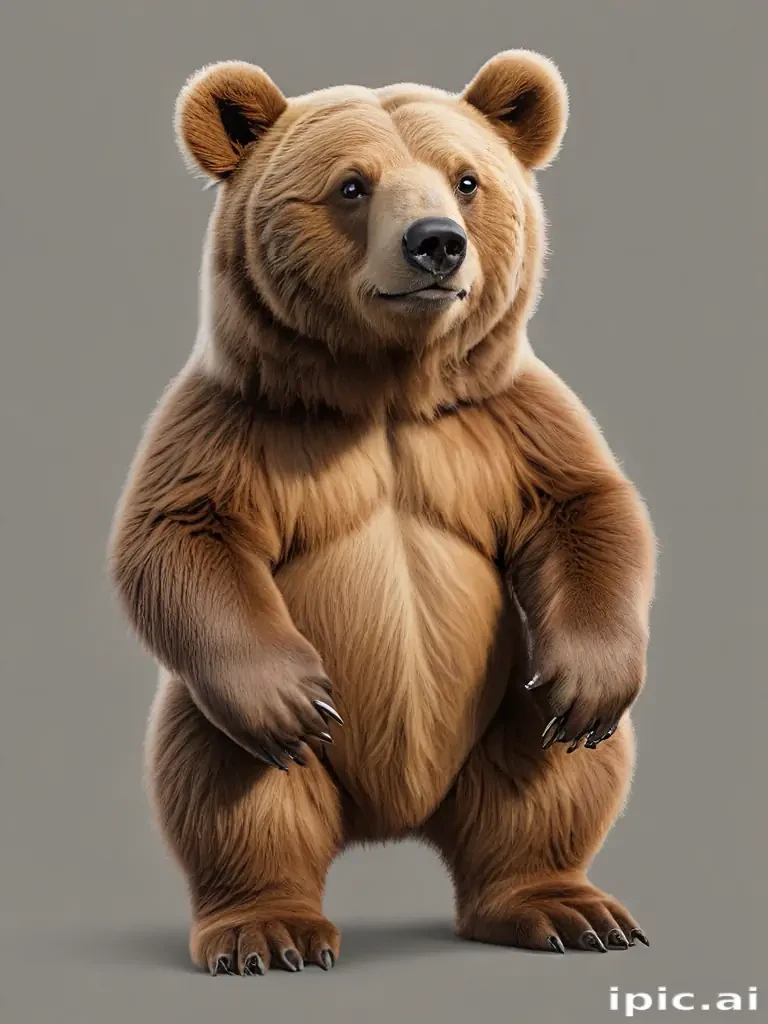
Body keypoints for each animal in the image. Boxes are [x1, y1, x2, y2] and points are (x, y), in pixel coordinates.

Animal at [108, 50, 657, 975]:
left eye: (466, 178)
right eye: (351, 185)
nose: (436, 242)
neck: (388, 391)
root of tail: (397, 818)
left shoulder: (503, 418)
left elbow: (587, 507)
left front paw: (591, 679)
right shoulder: (238, 420)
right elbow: (180, 534)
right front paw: (289, 699)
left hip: (508, 703)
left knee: (553, 782)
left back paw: (564, 907)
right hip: (218, 722)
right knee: (229, 791)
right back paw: (267, 930)